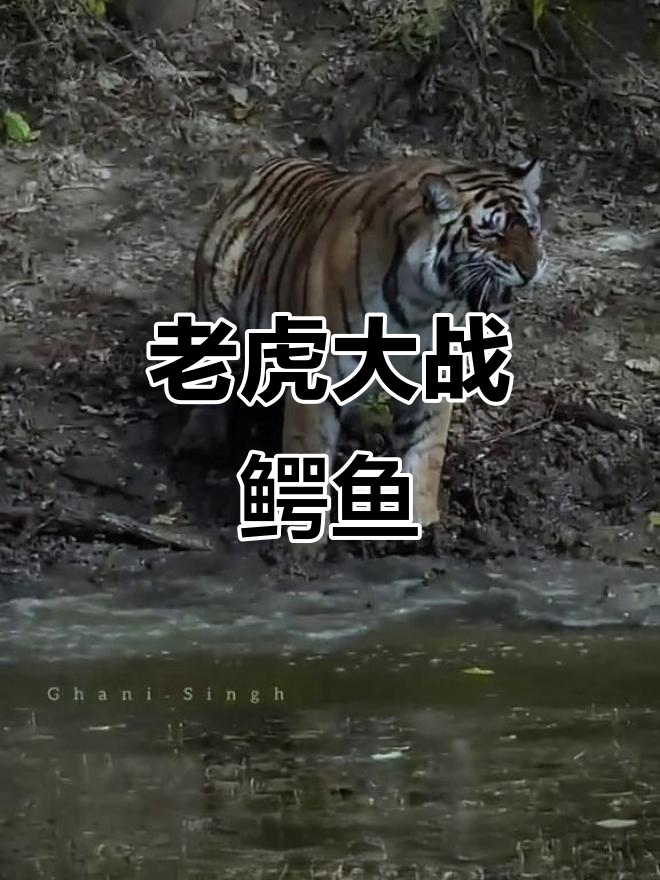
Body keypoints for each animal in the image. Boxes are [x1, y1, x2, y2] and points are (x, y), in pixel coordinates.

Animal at [186, 153, 546, 532]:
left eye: (532, 229)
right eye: (492, 233)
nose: (531, 269)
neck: (425, 303)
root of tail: (264, 167)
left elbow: (425, 449)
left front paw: (422, 523)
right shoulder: (320, 377)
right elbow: (309, 447)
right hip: (216, 304)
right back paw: (202, 440)